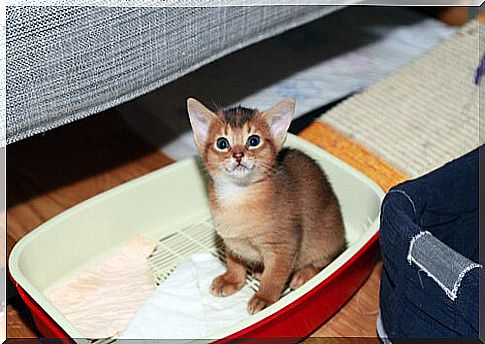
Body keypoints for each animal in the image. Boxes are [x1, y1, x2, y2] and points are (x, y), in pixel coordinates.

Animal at [185, 97, 344, 314]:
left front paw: (264, 298)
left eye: (253, 140)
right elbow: (234, 262)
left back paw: (302, 275)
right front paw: (231, 280)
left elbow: (274, 277)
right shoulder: (231, 241)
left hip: (324, 240)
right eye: (222, 143)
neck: (238, 197)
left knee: (325, 261)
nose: (238, 155)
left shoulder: (284, 247)